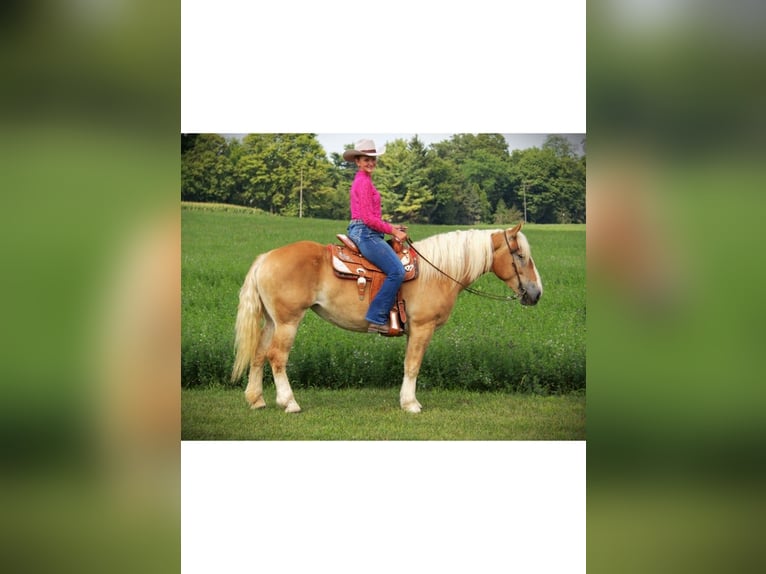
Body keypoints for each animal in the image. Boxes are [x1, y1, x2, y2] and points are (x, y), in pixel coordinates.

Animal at [231, 222, 543, 413]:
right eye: (519, 255)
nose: (536, 293)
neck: (437, 271)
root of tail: (266, 257)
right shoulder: (422, 328)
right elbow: (413, 365)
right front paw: (411, 404)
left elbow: (408, 365)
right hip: (288, 321)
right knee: (277, 357)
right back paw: (289, 403)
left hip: (272, 321)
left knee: (259, 354)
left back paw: (256, 400)